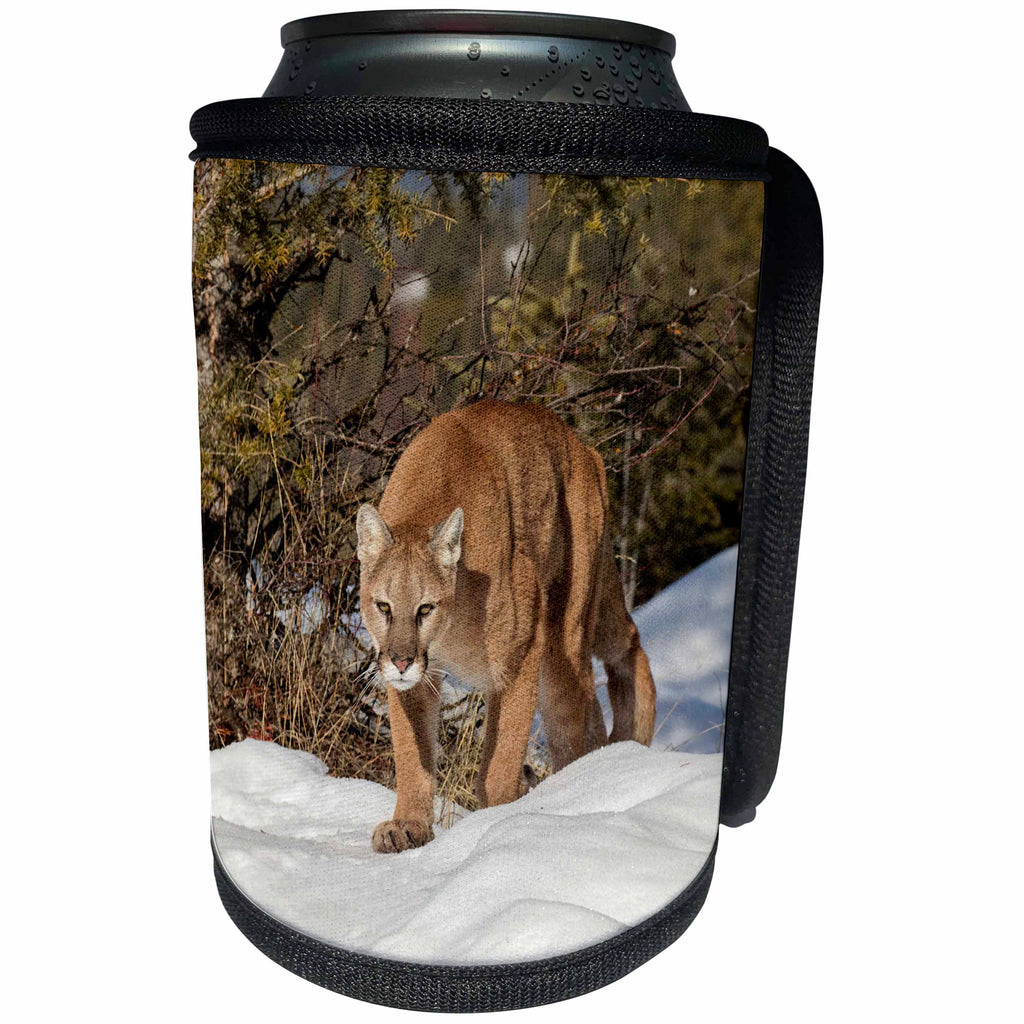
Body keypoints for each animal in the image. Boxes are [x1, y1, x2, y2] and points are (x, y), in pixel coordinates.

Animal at [356, 399, 656, 853]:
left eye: (425, 608)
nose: (402, 661)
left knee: (585, 699)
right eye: (383, 606)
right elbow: (412, 753)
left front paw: (496, 822)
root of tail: (582, 446)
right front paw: (407, 825)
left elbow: (499, 760)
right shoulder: (413, 681)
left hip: (564, 632)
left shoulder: (521, 653)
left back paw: (575, 791)